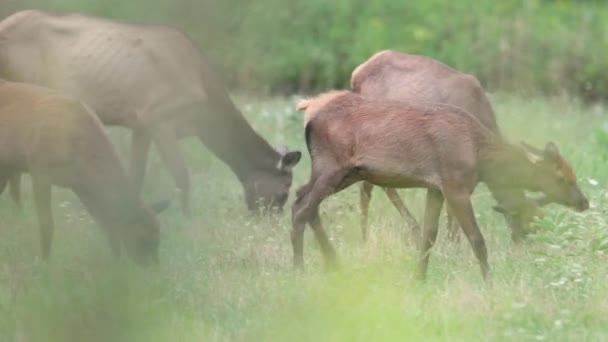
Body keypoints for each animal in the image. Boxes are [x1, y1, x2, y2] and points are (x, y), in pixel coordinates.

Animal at [0, 10, 302, 215]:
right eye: (285, 188)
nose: (271, 220)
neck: (205, 117)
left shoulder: (140, 124)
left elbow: (136, 177)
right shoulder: (159, 116)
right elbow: (182, 175)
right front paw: (188, 221)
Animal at [0, 81, 166, 264]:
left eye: (158, 238)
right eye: (144, 239)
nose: (153, 267)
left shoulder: (80, 185)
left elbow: (105, 223)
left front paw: (115, 262)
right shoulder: (39, 168)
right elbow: (47, 224)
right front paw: (45, 262)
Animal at [294, 90, 588, 280]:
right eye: (562, 177)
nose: (584, 202)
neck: (480, 158)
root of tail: (308, 111)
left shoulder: (435, 188)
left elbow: (429, 236)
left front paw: (419, 279)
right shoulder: (456, 185)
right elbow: (476, 239)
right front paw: (489, 283)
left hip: (347, 173)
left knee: (302, 198)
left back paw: (333, 264)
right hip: (332, 165)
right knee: (301, 208)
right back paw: (301, 271)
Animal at [350, 50, 544, 243]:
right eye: (527, 225)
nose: (521, 243)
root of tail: (356, 74)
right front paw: (453, 244)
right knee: (367, 188)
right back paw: (368, 236)